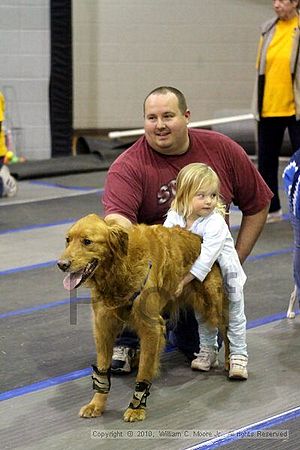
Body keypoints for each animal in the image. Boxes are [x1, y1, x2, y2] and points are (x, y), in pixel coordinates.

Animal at [57, 214, 229, 422]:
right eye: (68, 240)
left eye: (87, 241)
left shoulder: (151, 328)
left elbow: (144, 373)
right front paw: (96, 404)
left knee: (228, 332)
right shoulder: (103, 327)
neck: (119, 269)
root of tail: (198, 237)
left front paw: (136, 408)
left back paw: (232, 364)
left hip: (214, 305)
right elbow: (103, 370)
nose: (61, 264)